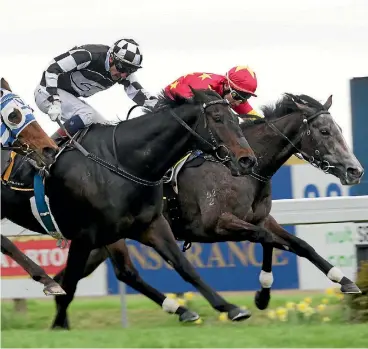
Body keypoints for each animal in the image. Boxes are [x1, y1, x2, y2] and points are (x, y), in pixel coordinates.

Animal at [53, 92, 364, 324]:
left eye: (338, 130)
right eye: (324, 131)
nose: (355, 171)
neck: (245, 170)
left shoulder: (261, 218)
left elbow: (298, 245)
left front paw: (344, 280)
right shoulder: (216, 225)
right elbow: (268, 240)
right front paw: (261, 295)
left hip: (104, 239)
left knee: (86, 274)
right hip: (109, 235)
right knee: (118, 272)